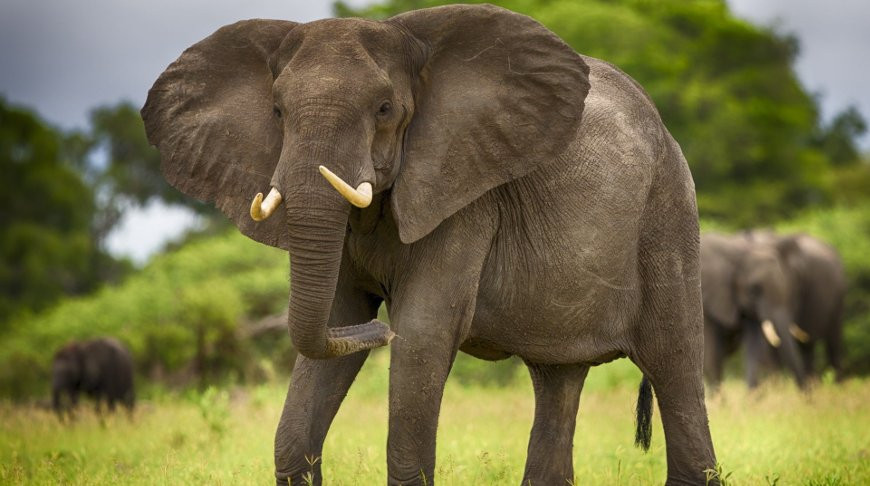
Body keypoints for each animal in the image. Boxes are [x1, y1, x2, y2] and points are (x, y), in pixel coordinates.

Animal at [142, 4, 717, 485]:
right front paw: (358, 325)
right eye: (278, 112)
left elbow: (421, 336)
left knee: (675, 365)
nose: (379, 329)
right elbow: (332, 323)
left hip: (669, 211)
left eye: (384, 108)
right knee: (558, 380)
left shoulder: (464, 194)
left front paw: (394, 331)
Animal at [701, 231, 846, 389]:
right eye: (754, 290)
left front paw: (754, 395)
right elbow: (712, 352)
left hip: (838, 298)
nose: (806, 394)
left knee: (831, 345)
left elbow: (753, 346)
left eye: (788, 290)